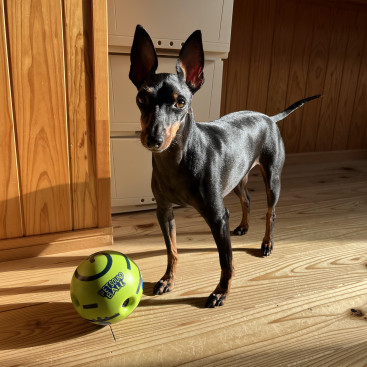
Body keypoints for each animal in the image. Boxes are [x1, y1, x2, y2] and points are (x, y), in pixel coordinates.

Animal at [129, 24, 322, 310]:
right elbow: (171, 250)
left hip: (273, 179)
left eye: (181, 102)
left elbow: (226, 260)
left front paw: (221, 292)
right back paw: (243, 226)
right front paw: (167, 279)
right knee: (247, 199)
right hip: (237, 178)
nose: (154, 139)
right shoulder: (164, 211)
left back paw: (267, 243)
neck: (178, 159)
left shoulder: (218, 217)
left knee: (271, 212)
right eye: (142, 98)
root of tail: (269, 117)